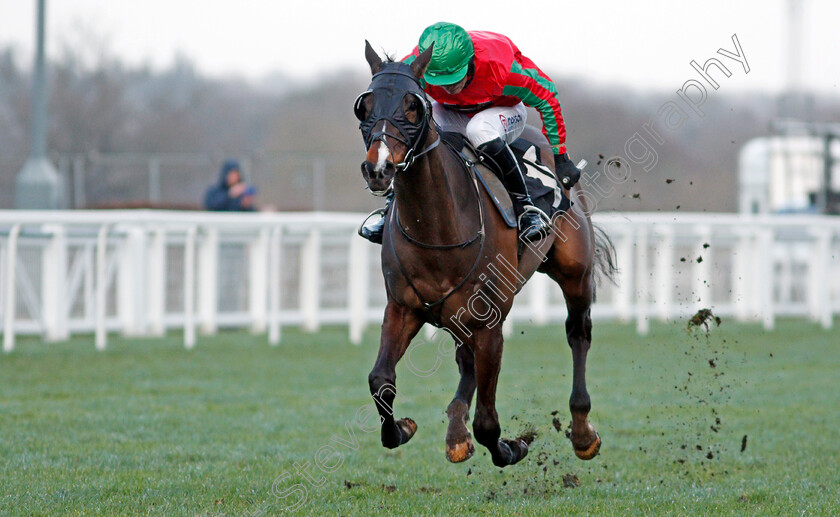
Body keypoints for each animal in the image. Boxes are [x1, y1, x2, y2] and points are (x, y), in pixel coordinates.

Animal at [354, 41, 616, 468]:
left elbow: (489, 423)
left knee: (578, 334)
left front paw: (513, 447)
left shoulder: (489, 321)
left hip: (575, 273)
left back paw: (582, 432)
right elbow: (380, 380)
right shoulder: (403, 308)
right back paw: (456, 430)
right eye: (366, 105)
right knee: (465, 361)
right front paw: (403, 428)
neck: (438, 228)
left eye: (413, 105)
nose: (379, 168)